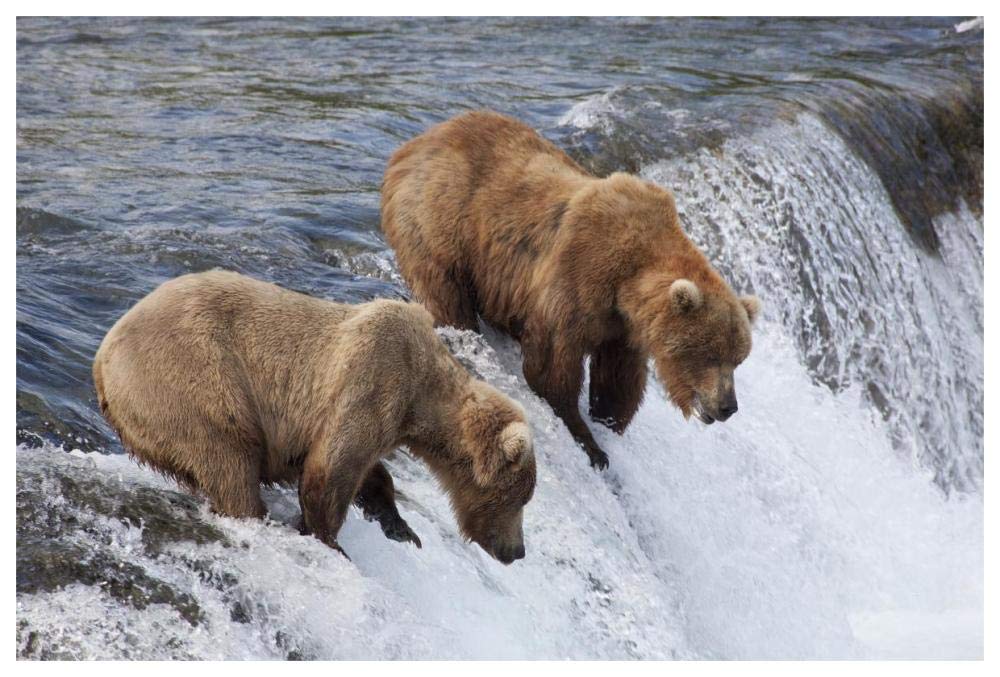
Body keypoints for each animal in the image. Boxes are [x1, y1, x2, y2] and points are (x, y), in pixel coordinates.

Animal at [93, 270, 536, 564]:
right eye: (518, 497)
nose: (516, 551)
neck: (421, 395)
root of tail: (101, 360)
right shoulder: (373, 380)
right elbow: (331, 470)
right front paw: (331, 542)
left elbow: (367, 471)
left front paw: (401, 528)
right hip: (191, 381)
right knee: (228, 459)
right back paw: (253, 513)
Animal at [381, 110, 760, 470]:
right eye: (710, 354)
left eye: (738, 359)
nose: (728, 406)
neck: (629, 279)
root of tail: (415, 143)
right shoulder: (577, 279)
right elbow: (551, 368)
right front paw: (590, 443)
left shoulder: (622, 328)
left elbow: (618, 379)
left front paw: (608, 422)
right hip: (441, 220)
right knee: (445, 292)